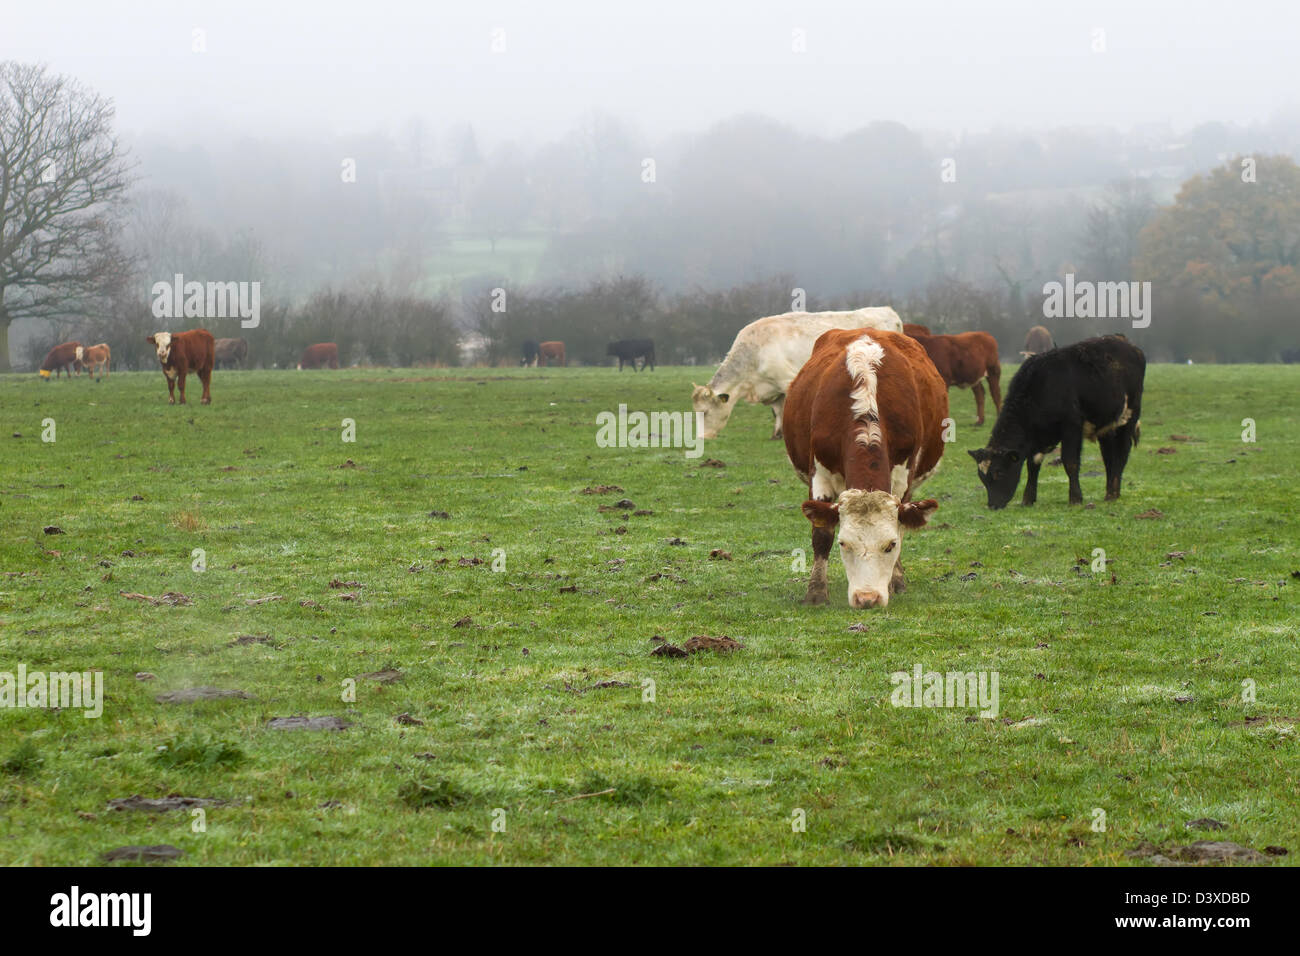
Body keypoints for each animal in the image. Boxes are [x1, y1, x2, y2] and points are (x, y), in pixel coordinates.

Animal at [691, 306, 904, 442]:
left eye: (705, 412)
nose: (702, 438)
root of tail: (888, 311)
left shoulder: (787, 381)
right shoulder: (773, 389)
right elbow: (778, 411)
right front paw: (776, 434)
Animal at [780, 329, 946, 608]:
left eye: (889, 545)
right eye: (844, 544)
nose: (867, 598)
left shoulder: (902, 477)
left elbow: (901, 527)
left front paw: (895, 581)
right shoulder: (820, 475)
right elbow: (821, 535)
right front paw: (816, 592)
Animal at [967, 335, 1149, 509]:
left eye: (999, 472)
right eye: (981, 477)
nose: (992, 505)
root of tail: (1130, 346)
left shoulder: (1071, 427)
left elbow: (1070, 462)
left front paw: (1075, 498)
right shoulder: (1037, 437)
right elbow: (1033, 465)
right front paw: (1027, 499)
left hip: (1128, 417)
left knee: (1122, 452)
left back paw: (1112, 493)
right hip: (1106, 426)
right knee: (1109, 456)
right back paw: (1111, 492)